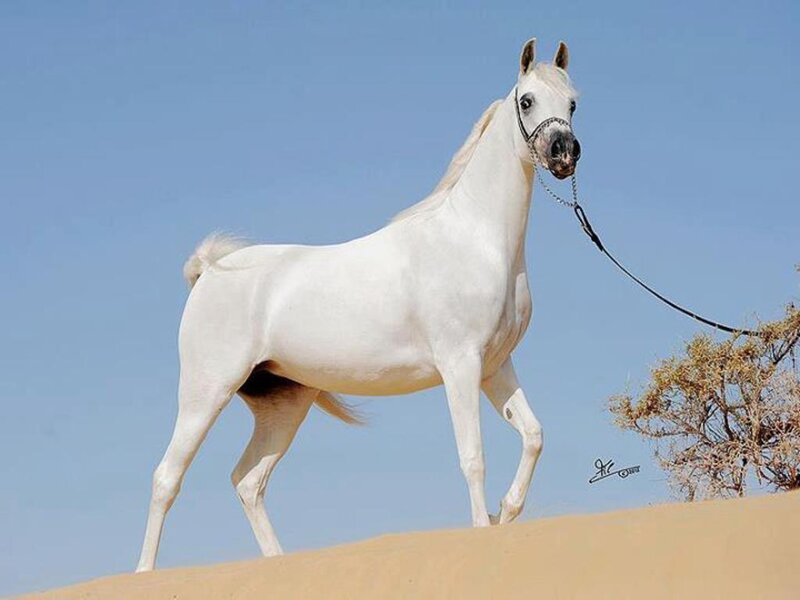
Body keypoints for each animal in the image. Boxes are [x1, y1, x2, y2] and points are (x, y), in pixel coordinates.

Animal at [137, 37, 580, 572]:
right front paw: (482, 527)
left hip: (285, 404)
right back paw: (142, 574)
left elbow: (533, 434)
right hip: (205, 393)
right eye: (527, 100)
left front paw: (506, 512)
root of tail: (208, 272)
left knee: (248, 481)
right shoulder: (460, 366)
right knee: (167, 478)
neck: (474, 238)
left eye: (573, 103)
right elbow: (472, 456)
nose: (564, 153)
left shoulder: (495, 366)